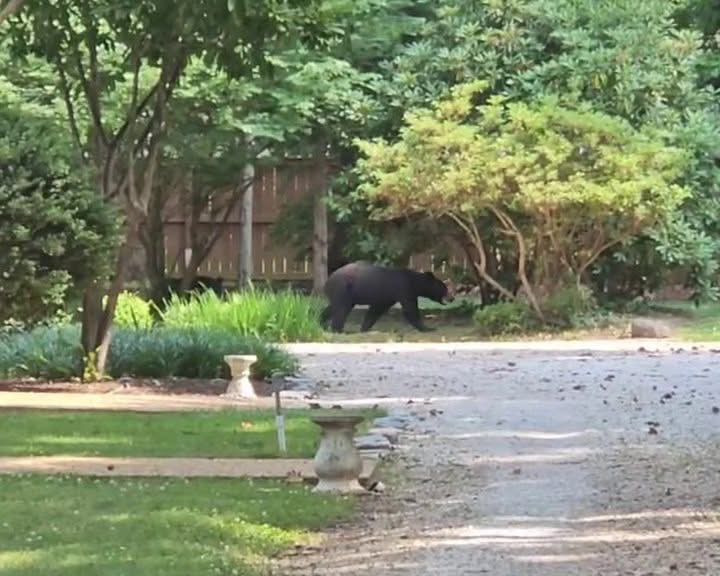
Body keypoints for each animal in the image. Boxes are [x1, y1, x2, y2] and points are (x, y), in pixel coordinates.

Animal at [319, 261, 454, 333]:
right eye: (444, 287)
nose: (452, 298)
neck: (414, 282)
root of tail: (327, 281)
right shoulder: (404, 289)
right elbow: (410, 309)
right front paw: (427, 328)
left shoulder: (387, 297)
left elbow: (375, 310)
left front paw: (364, 328)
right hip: (343, 289)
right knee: (341, 310)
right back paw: (340, 330)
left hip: (343, 294)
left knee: (333, 308)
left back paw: (321, 322)